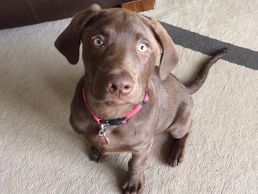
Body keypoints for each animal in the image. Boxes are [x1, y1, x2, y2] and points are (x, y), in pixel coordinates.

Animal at [54, 3, 226, 193]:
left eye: (143, 47)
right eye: (98, 41)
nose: (120, 85)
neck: (109, 117)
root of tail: (184, 85)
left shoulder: (143, 146)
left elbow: (136, 163)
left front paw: (134, 182)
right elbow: (97, 142)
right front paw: (97, 150)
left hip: (178, 124)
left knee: (186, 131)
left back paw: (176, 152)